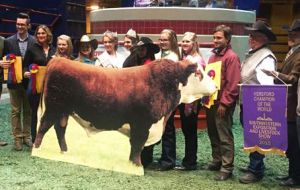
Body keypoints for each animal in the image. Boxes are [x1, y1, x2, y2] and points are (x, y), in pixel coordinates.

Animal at [33, 57, 216, 165]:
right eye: (199, 73)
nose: (215, 86)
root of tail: (58, 60)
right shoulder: (142, 125)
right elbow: (137, 146)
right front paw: (137, 166)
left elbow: (135, 147)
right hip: (54, 108)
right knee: (43, 127)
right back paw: (37, 150)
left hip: (63, 111)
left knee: (60, 128)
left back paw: (64, 151)